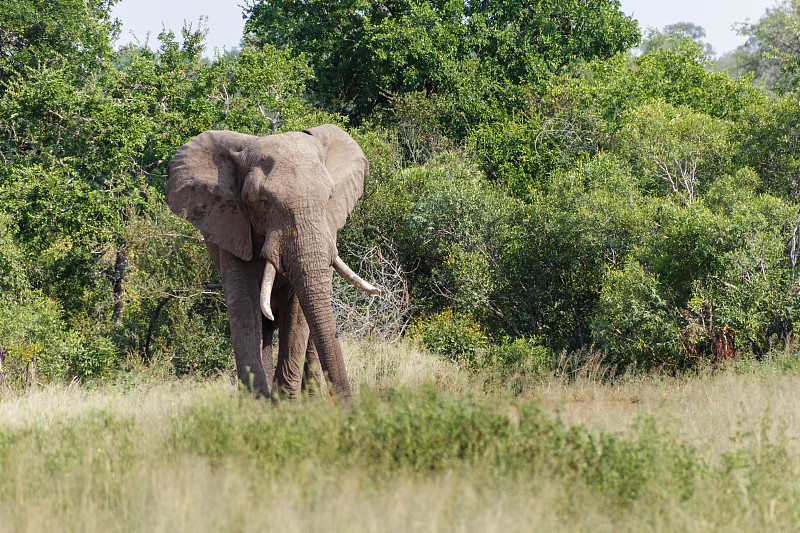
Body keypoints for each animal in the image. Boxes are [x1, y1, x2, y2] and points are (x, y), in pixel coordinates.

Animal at [165, 125, 378, 400]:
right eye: (263, 201)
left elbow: (298, 311)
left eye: (330, 196)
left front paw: (285, 402)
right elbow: (244, 304)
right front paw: (259, 404)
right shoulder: (232, 228)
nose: (347, 405)